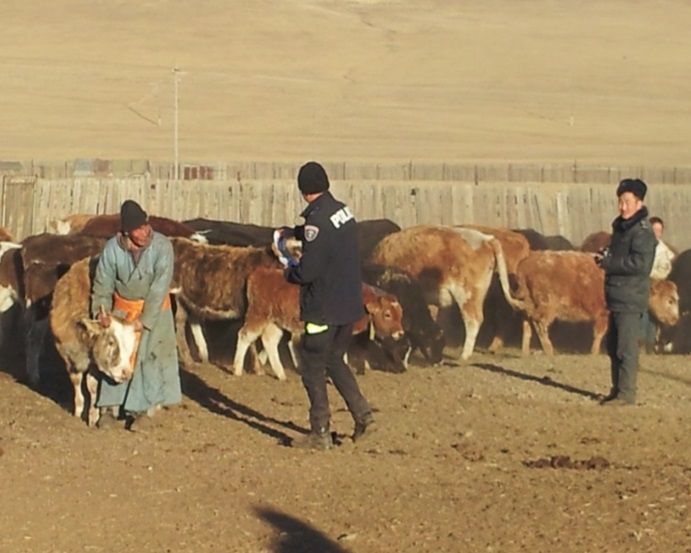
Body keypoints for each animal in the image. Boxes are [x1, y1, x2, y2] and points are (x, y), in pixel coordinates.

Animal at [52, 256, 143, 424]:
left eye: (133, 346)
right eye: (111, 342)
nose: (126, 373)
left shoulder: (95, 365)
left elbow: (92, 386)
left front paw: (93, 417)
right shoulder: (69, 357)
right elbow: (77, 382)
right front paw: (77, 413)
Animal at [232, 266, 406, 380]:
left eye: (400, 314)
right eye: (387, 314)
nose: (400, 333)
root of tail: (259, 273)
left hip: (275, 322)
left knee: (270, 341)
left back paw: (281, 374)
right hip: (258, 315)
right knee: (245, 335)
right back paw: (237, 370)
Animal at [512, 250, 680, 354]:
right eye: (670, 300)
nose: (675, 319)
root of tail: (526, 264)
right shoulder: (603, 314)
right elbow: (599, 334)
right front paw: (594, 352)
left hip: (529, 304)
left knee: (527, 324)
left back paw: (525, 353)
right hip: (547, 306)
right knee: (539, 323)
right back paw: (549, 350)